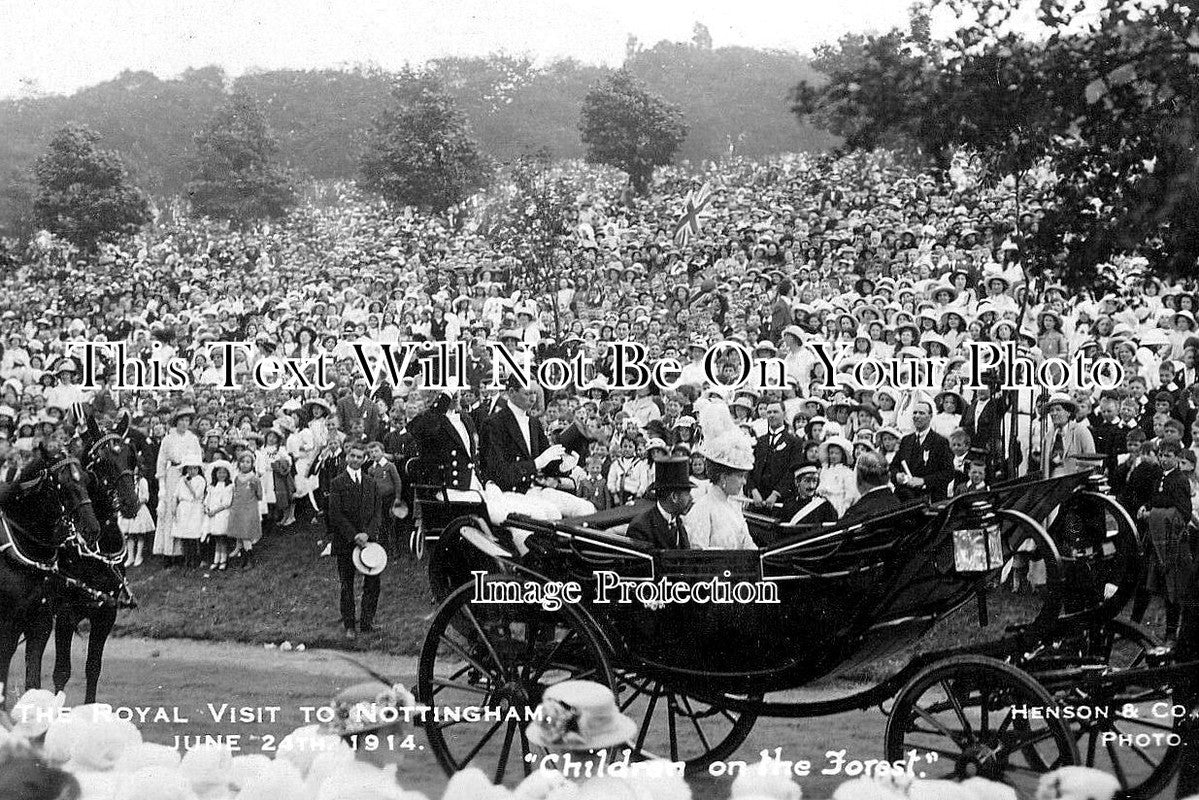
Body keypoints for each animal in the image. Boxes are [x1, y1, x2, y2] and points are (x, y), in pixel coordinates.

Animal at [0, 443, 98, 705]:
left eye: (86, 479)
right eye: (61, 484)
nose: (92, 529)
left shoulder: (40, 622)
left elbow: (32, 681)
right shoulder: (8, 624)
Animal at [47, 417, 139, 705]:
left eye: (131, 455)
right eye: (102, 460)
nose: (130, 501)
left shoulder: (105, 613)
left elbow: (93, 668)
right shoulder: (65, 614)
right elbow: (61, 672)